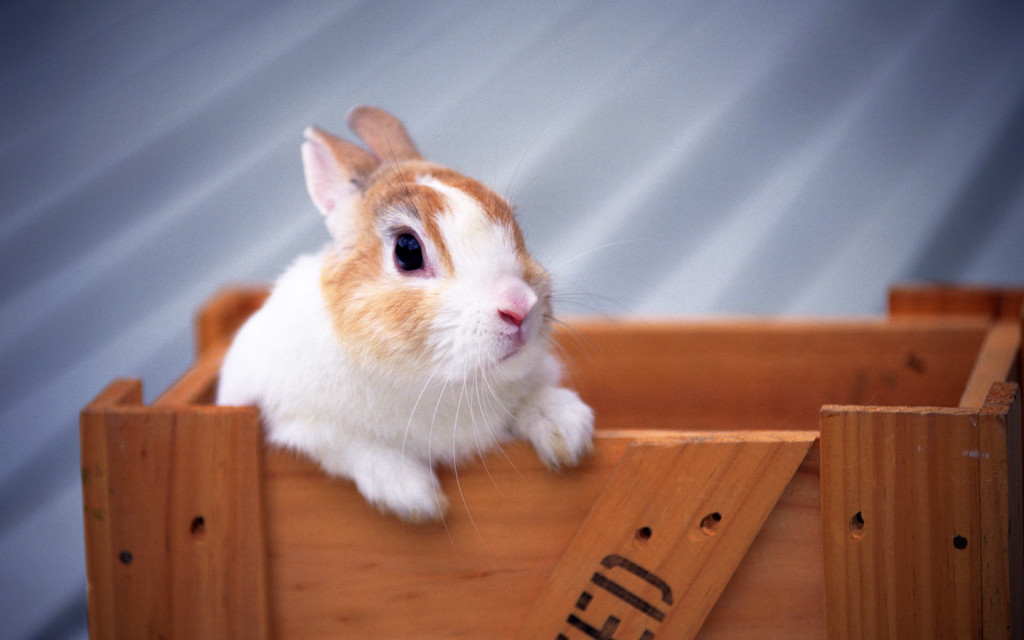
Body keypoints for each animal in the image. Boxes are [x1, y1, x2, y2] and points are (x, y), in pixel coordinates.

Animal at [217, 106, 594, 522]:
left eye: (512, 220)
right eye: (408, 250)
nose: (520, 306)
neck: (439, 385)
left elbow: (533, 398)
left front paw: (566, 431)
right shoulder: (305, 423)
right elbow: (355, 448)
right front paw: (415, 498)